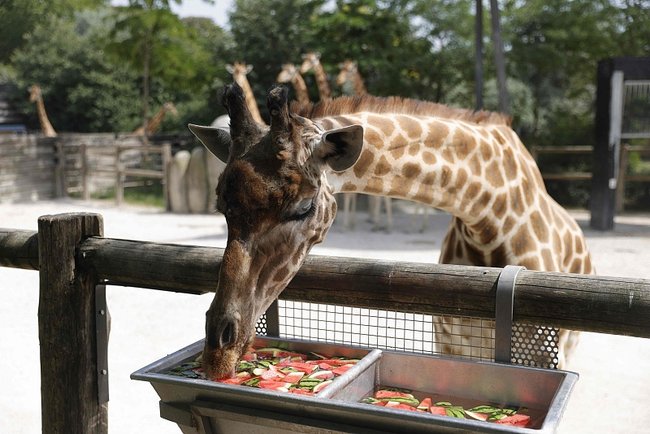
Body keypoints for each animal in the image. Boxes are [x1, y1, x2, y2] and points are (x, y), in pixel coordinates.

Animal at [187, 83, 592, 378]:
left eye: (303, 208)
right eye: (221, 209)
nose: (218, 355)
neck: (490, 217)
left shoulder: (545, 355)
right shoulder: (450, 342)